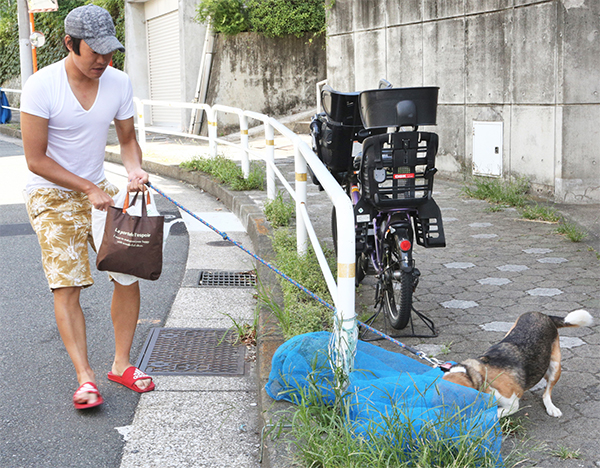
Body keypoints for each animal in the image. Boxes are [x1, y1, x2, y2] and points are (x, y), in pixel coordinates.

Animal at [442, 310, 592, 416]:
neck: (476, 375)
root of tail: (544, 315)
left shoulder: (511, 405)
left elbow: (493, 414)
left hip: (555, 367)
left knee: (547, 393)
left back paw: (551, 407)